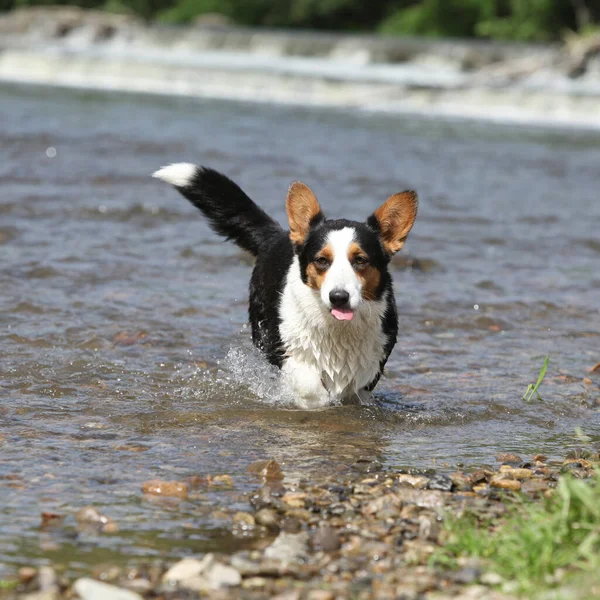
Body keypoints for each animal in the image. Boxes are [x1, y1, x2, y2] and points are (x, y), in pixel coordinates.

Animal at [154, 164, 418, 408]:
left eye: (360, 260)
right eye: (322, 260)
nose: (339, 297)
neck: (336, 328)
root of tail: (277, 235)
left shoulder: (372, 364)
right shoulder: (286, 350)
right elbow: (310, 385)